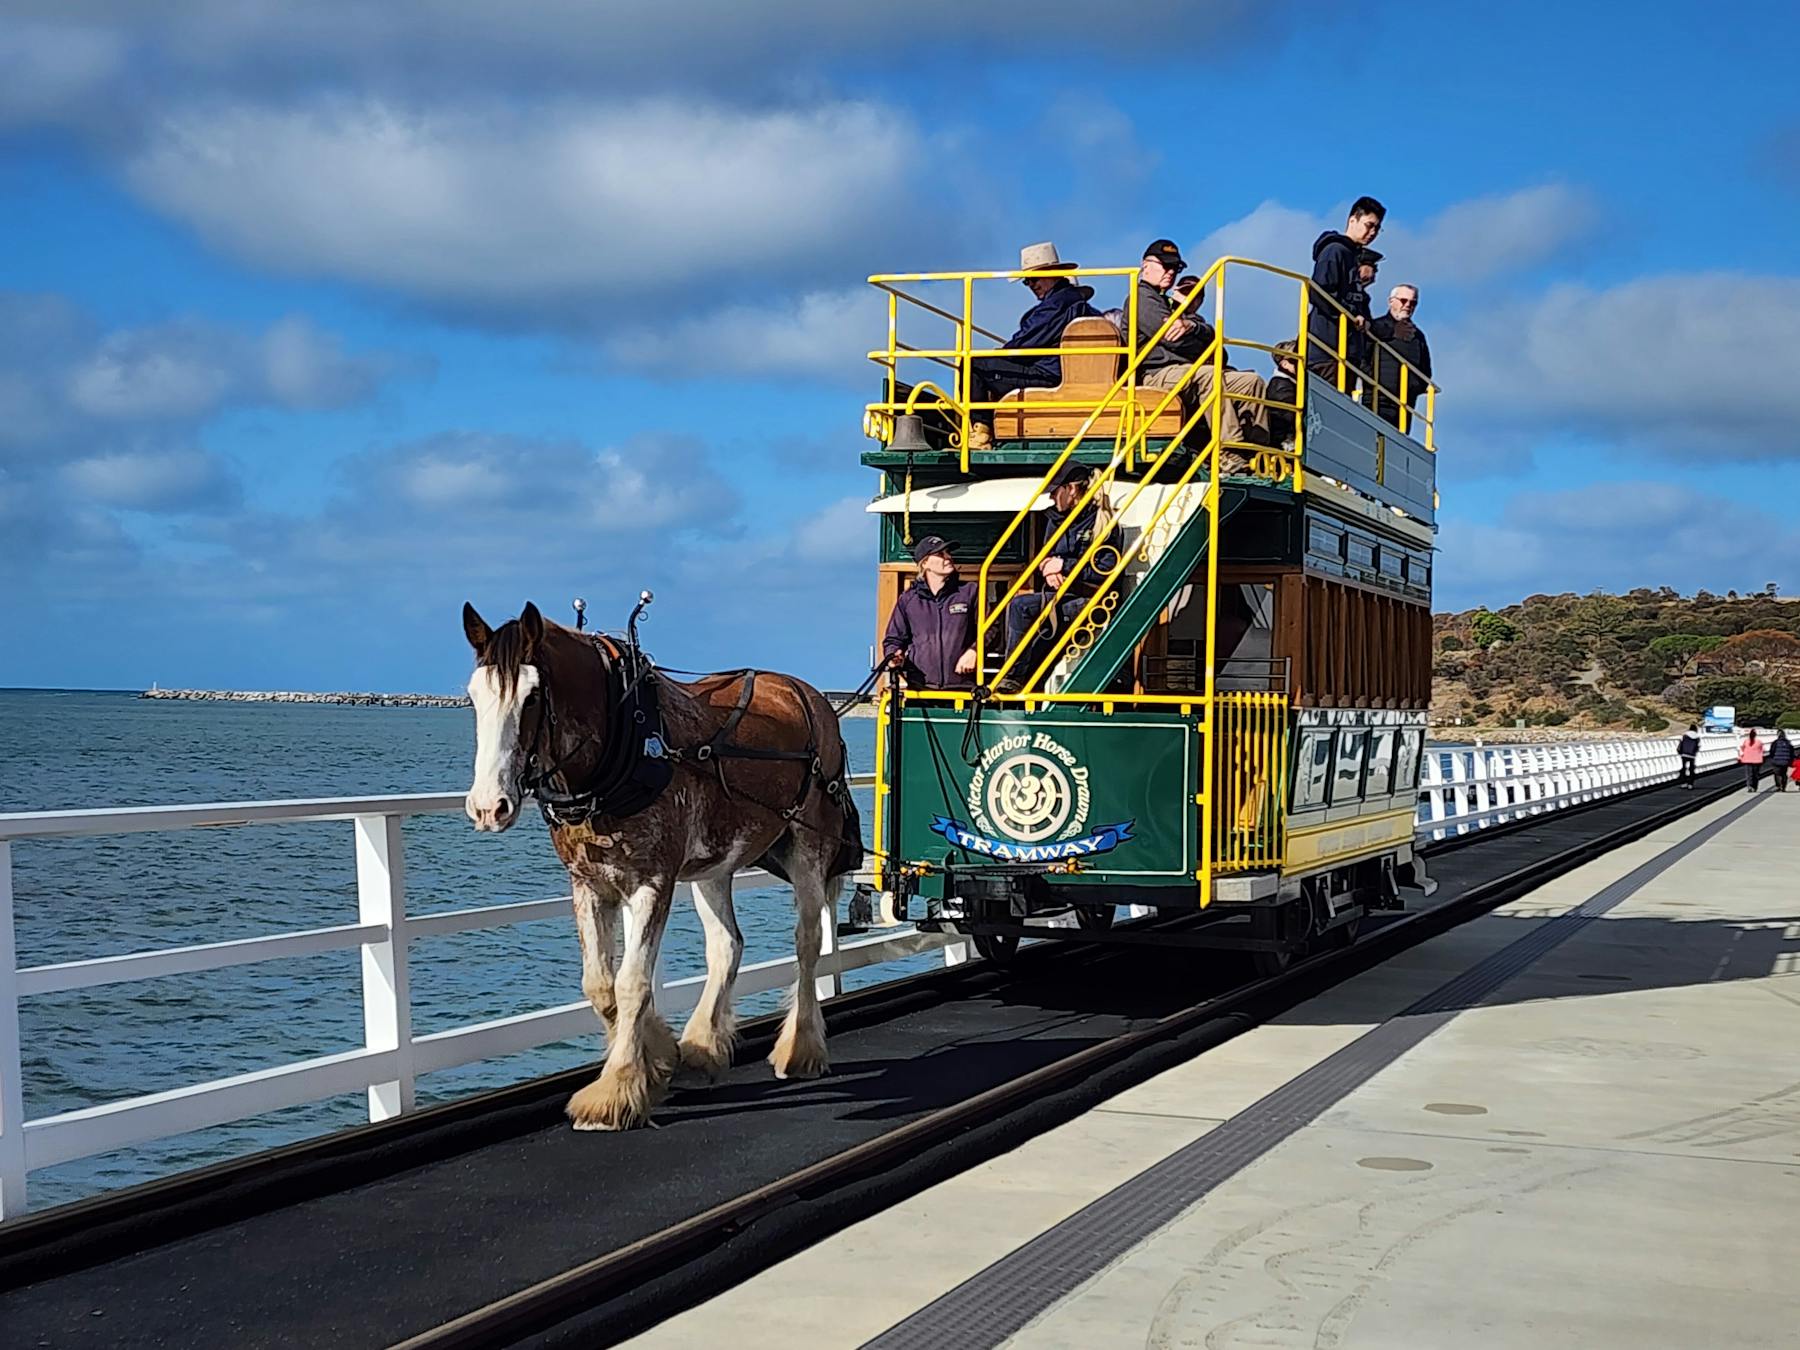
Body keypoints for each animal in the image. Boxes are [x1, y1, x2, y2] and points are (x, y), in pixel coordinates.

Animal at [460, 600, 863, 1131]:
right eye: (472, 697)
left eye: (531, 697)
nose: (489, 806)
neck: (624, 741)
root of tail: (813, 698)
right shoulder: (589, 884)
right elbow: (600, 984)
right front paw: (656, 1057)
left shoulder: (652, 881)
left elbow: (632, 983)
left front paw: (615, 1091)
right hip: (715, 864)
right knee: (727, 945)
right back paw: (702, 1047)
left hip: (809, 847)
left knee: (808, 942)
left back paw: (800, 1048)